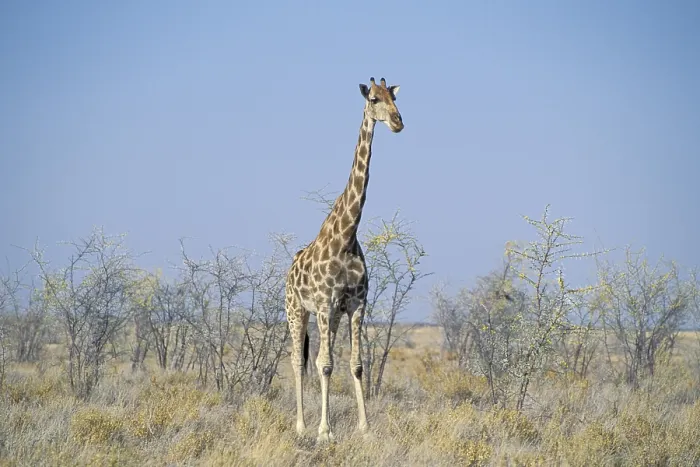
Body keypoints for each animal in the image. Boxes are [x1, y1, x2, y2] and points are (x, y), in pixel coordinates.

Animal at [285, 77, 403, 443]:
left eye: (395, 98)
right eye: (374, 99)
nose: (398, 122)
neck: (347, 235)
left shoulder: (354, 304)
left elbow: (355, 365)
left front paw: (364, 428)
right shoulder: (324, 304)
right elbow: (323, 364)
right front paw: (324, 432)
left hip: (332, 317)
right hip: (296, 310)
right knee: (298, 360)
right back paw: (301, 426)